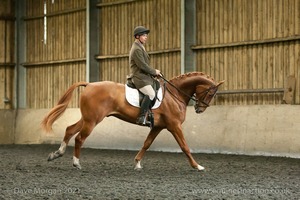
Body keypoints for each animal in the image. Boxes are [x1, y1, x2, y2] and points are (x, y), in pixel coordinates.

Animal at [42, 72, 225, 170]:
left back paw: (56, 154)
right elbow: (185, 146)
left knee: (70, 130)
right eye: (211, 93)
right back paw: (76, 163)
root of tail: (89, 85)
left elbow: (147, 144)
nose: (200, 109)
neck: (175, 94)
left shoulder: (158, 127)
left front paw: (137, 163)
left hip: (87, 118)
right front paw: (197, 166)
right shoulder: (174, 126)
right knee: (79, 138)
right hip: (93, 120)